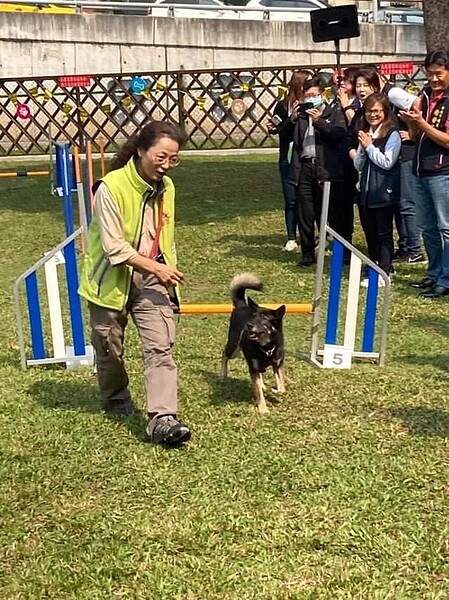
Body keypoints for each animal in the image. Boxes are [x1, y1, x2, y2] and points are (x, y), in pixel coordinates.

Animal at [219, 274, 286, 414]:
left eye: (265, 318)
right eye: (254, 316)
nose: (249, 325)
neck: (266, 347)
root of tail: (241, 305)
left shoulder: (277, 365)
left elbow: (282, 389)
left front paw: (275, 390)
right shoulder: (253, 368)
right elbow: (259, 393)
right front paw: (263, 410)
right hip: (234, 348)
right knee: (224, 353)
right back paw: (222, 375)